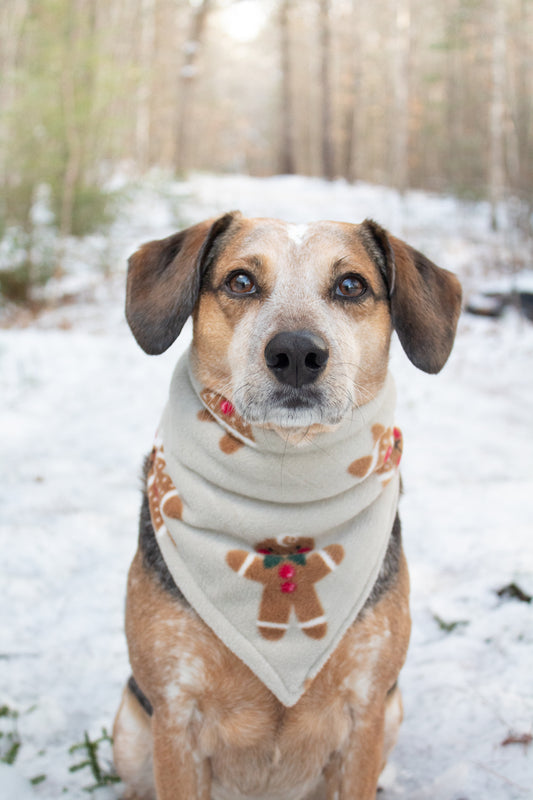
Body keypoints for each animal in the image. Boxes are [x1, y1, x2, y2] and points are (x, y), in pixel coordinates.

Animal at [112, 214, 462, 800]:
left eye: (351, 285)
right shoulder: (175, 716)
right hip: (130, 729)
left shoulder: (366, 711)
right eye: (240, 281)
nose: (297, 353)